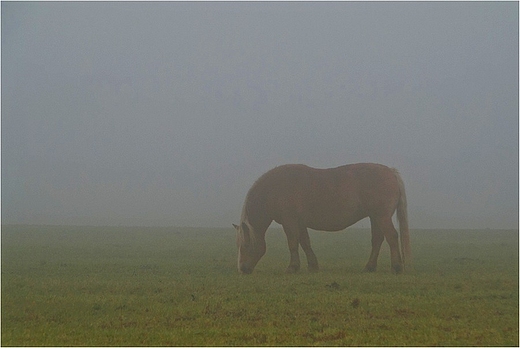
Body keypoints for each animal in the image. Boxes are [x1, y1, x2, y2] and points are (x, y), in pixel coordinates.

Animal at [235, 162, 410, 274]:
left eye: (246, 244)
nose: (242, 269)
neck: (274, 189)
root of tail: (391, 172)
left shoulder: (289, 222)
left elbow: (293, 243)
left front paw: (292, 267)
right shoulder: (300, 223)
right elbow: (305, 243)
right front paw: (312, 266)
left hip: (382, 217)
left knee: (392, 237)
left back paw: (396, 267)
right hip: (375, 218)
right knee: (377, 240)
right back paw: (370, 267)